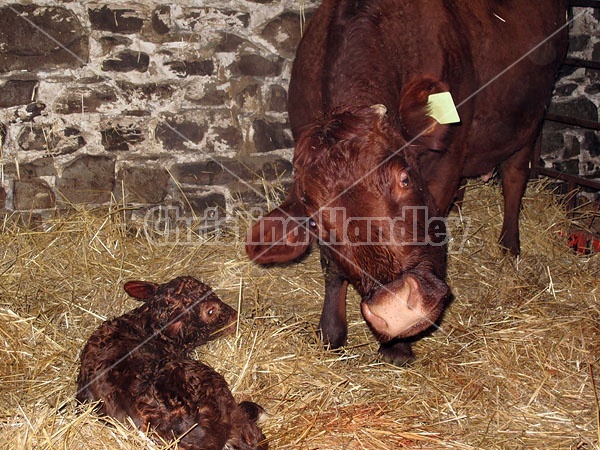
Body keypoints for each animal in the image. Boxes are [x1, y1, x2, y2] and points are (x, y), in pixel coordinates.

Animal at [245, 0, 568, 366]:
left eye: (404, 177)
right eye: (315, 221)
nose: (396, 310)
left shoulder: (445, 162)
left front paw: (396, 347)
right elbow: (331, 267)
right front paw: (331, 331)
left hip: (529, 118)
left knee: (515, 177)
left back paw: (509, 247)